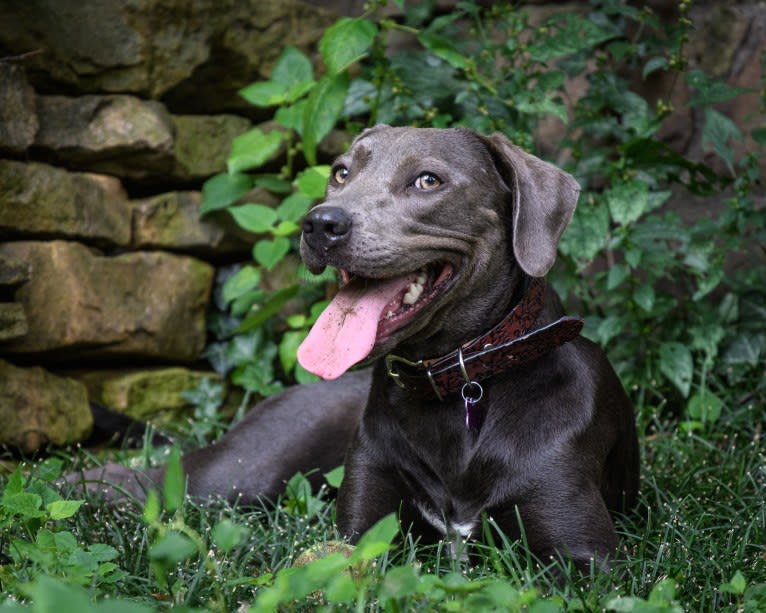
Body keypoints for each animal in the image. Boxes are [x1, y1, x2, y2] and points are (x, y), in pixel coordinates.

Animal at [69, 126, 640, 572]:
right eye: (341, 172)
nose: (320, 223)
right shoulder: (364, 530)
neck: (458, 384)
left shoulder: (583, 557)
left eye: (428, 180)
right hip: (241, 473)